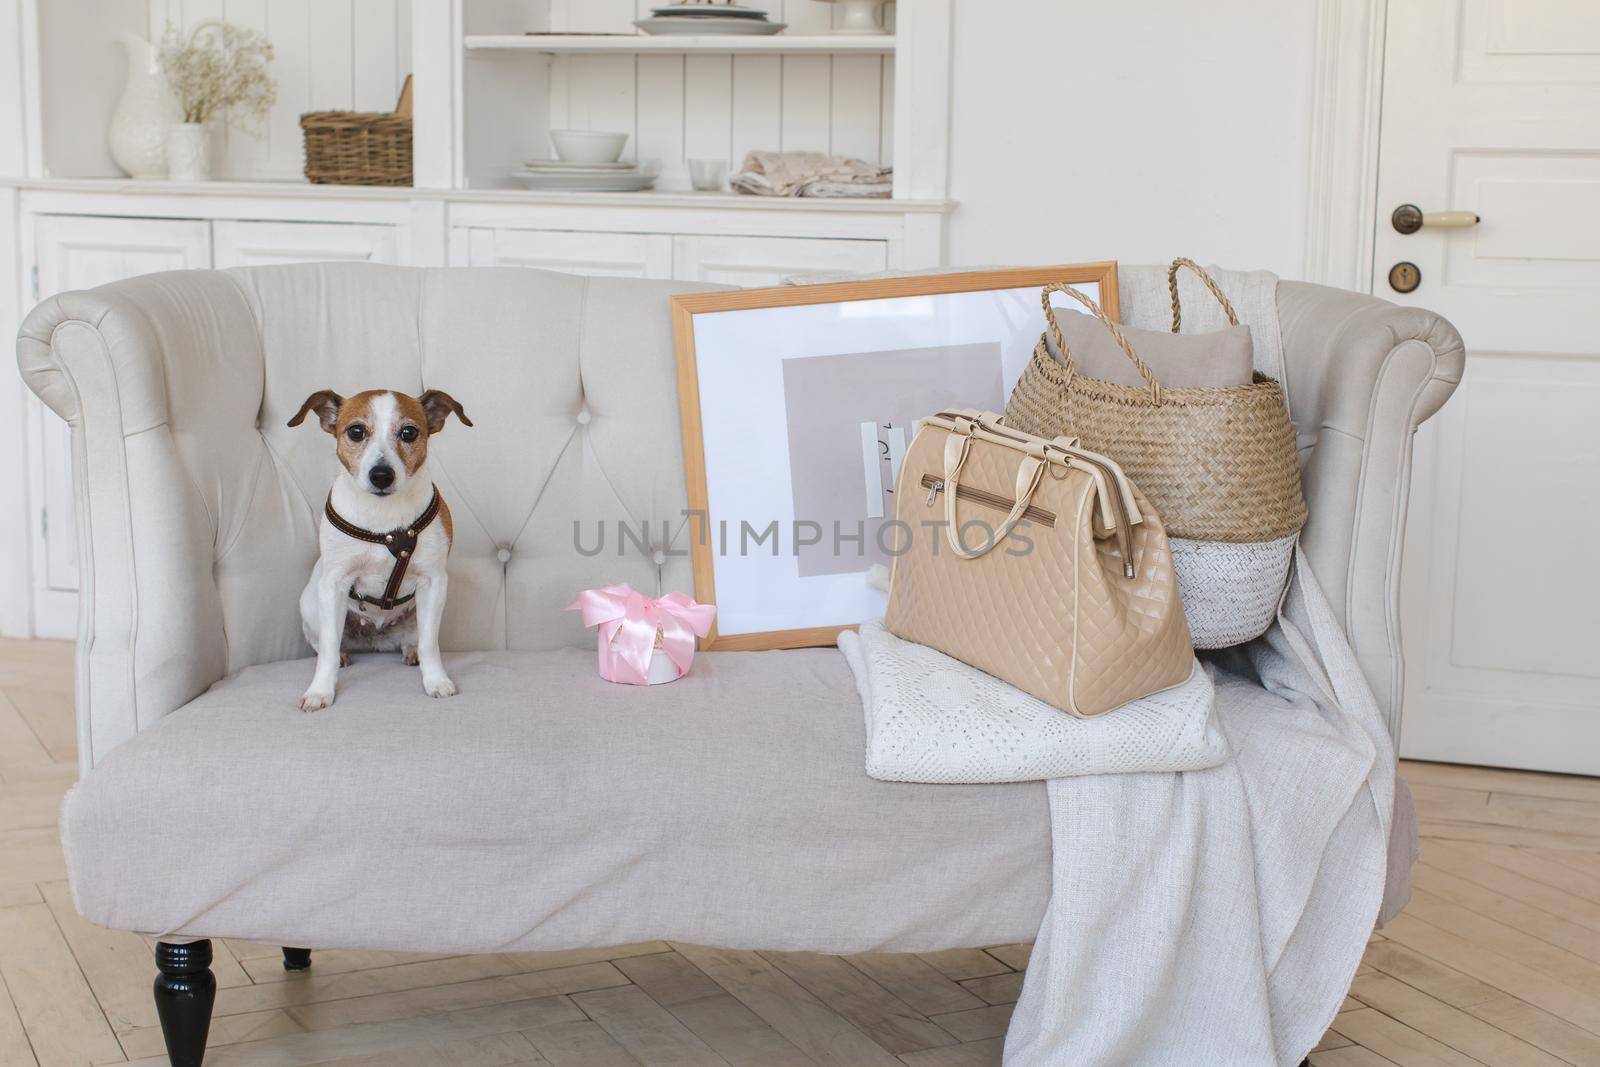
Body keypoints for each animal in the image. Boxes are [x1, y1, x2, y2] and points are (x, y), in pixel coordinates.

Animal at [291, 388, 470, 713]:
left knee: (415, 639)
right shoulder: (334, 583)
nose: (382, 475)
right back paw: (342, 656)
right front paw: (320, 691)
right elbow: (328, 649)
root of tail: (374, 636)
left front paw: (435, 681)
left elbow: (430, 643)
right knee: (325, 643)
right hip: (310, 603)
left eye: (409, 432)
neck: (383, 519)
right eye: (356, 431)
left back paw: (412, 652)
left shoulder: (434, 583)